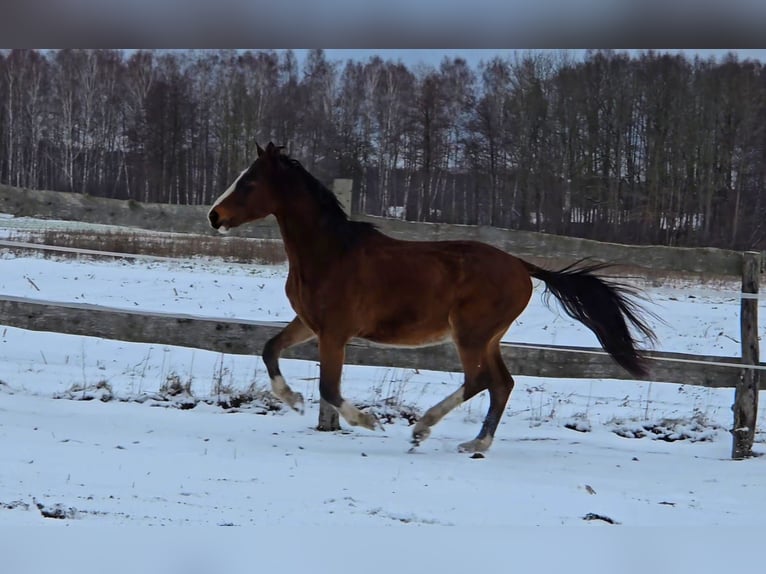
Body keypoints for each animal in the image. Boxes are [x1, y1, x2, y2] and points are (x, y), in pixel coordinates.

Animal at [208, 142, 657, 453]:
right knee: (502, 384)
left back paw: (422, 428)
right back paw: (476, 444)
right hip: (489, 338)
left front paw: (369, 422)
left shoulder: (334, 333)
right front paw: (294, 401)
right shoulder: (309, 324)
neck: (330, 253)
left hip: (470, 334)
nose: (214, 216)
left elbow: (330, 389)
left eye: (248, 182)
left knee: (480, 380)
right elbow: (269, 349)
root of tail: (523, 267)